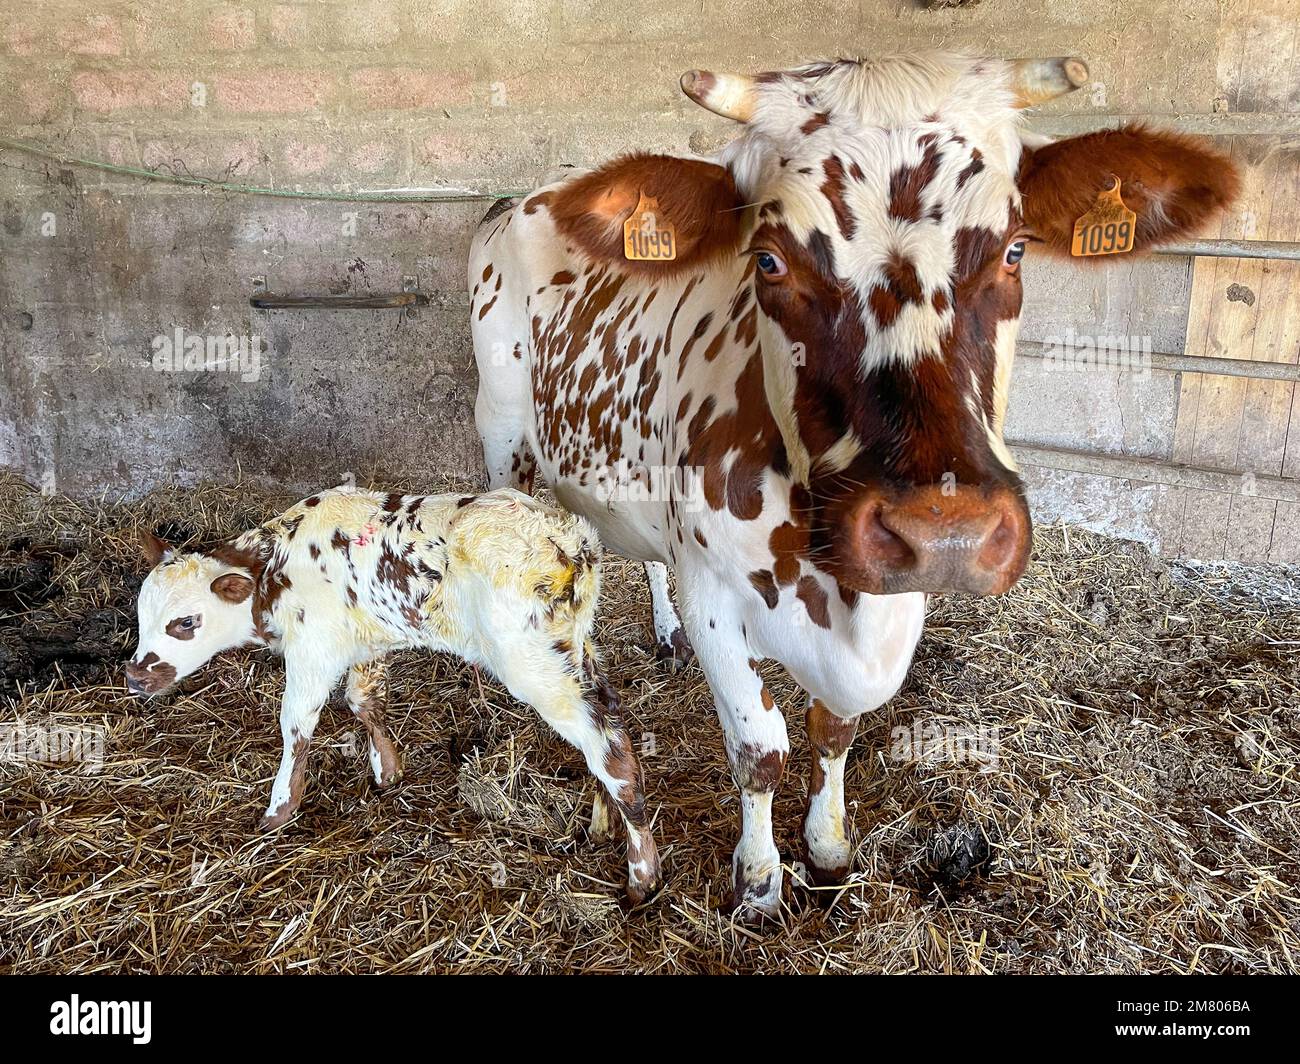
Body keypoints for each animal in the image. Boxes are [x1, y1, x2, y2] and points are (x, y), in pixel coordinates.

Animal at [125, 483, 660, 900]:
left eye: (185, 622)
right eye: (141, 613)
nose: (134, 676)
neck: (278, 567)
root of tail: (569, 539)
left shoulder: (313, 650)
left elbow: (296, 726)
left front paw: (279, 810)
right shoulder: (366, 641)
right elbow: (363, 701)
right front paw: (388, 769)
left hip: (532, 664)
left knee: (609, 748)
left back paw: (642, 877)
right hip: (575, 647)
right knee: (606, 717)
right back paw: (600, 823)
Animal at [467, 51, 1237, 910]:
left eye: (1015, 250)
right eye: (769, 259)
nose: (945, 530)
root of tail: (529, 193)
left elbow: (833, 729)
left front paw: (828, 845)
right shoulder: (716, 599)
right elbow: (760, 749)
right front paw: (759, 881)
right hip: (504, 438)